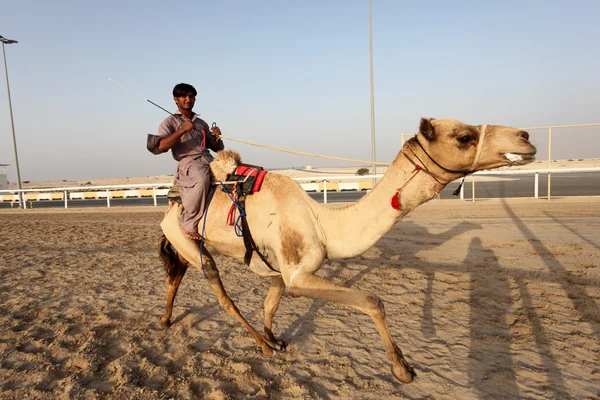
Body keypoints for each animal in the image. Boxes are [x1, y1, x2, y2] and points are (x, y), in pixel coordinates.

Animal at [157, 118, 536, 384]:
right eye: (464, 137)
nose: (525, 137)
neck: (323, 223)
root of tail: (170, 206)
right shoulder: (299, 276)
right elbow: (372, 301)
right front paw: (403, 369)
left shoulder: (282, 269)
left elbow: (271, 303)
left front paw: (276, 338)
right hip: (190, 241)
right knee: (222, 295)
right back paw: (259, 345)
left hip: (185, 247)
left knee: (175, 276)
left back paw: (167, 320)